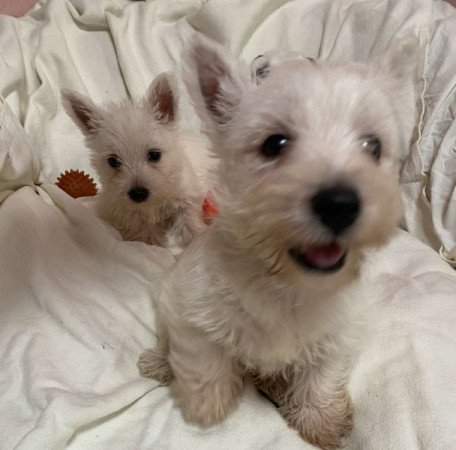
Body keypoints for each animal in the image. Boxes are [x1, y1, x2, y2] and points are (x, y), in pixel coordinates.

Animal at [61, 74, 206, 250]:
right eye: (113, 161)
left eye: (154, 155)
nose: (138, 194)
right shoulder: (128, 213)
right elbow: (145, 233)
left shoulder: (186, 200)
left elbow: (190, 223)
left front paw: (199, 241)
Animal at [138, 37, 416, 448]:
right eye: (275, 144)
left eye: (373, 146)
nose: (340, 204)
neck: (286, 282)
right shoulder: (193, 311)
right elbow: (203, 359)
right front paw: (206, 406)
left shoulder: (337, 333)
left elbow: (321, 375)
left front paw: (319, 421)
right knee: (166, 339)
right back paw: (159, 362)